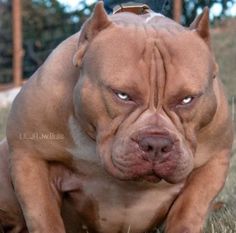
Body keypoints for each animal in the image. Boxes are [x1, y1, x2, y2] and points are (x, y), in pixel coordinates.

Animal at [0, 1, 233, 233]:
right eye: (122, 95)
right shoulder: (29, 156)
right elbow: (45, 217)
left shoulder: (215, 160)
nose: (156, 144)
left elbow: (189, 211)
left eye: (186, 99)